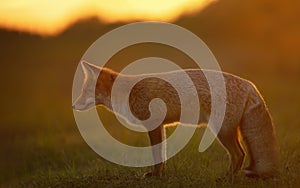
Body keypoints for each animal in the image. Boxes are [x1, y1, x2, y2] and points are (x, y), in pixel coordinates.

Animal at [73, 61, 282, 179]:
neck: (128, 93)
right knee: (241, 155)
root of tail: (250, 84)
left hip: (222, 131)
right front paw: (159, 175)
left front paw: (155, 176)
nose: (74, 106)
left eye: (85, 91)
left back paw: (227, 178)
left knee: (239, 154)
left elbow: (156, 155)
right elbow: (162, 155)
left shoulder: (153, 124)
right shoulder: (161, 126)